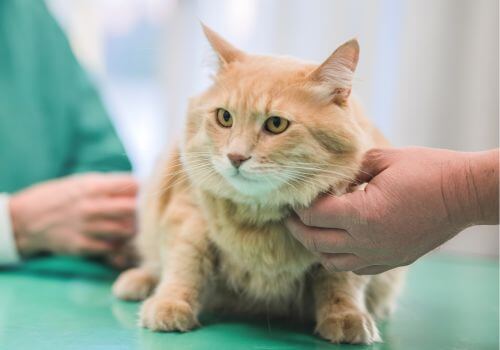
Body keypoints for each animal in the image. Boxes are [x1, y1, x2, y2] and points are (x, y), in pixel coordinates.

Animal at [111, 24, 404, 344]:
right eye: (224, 117)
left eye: (276, 124)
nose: (236, 157)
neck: (258, 220)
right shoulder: (188, 212)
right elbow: (185, 262)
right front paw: (170, 304)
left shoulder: (349, 239)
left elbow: (341, 280)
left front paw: (345, 316)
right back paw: (137, 281)